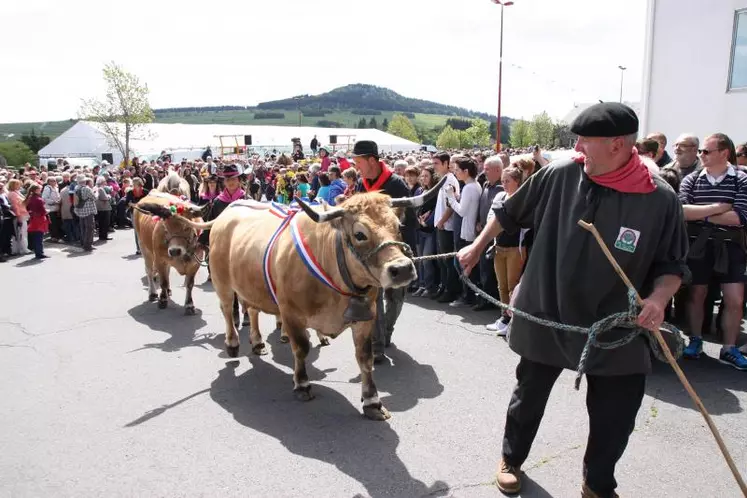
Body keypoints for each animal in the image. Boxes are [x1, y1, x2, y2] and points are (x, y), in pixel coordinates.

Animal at [207, 179, 444, 420]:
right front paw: (302, 384)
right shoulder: (291, 313)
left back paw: (257, 343)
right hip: (222, 283)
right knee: (227, 311)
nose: (402, 269)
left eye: (397, 226)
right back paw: (233, 344)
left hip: (252, 287)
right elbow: (301, 349)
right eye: (360, 234)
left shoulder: (366, 317)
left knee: (252, 311)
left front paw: (372, 401)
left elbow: (365, 358)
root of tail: (231, 209)